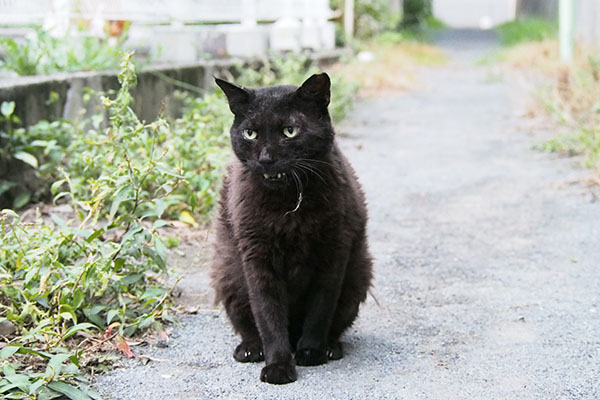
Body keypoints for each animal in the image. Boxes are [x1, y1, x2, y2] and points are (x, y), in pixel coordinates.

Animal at [210, 72, 370, 384]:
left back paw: (330, 347)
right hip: (228, 272)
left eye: (290, 131)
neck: (287, 205)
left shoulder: (333, 253)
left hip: (359, 272)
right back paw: (250, 349)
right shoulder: (257, 258)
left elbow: (320, 309)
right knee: (248, 324)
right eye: (250, 133)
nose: (266, 158)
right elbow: (268, 314)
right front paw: (278, 366)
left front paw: (311, 351)